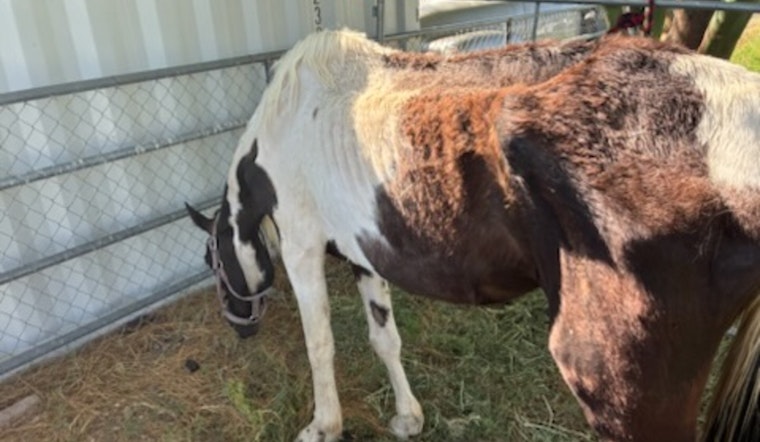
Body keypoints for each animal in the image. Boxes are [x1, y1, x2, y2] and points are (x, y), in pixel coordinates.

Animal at [186, 29, 760, 441]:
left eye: (212, 261)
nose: (238, 327)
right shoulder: (365, 256)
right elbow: (385, 339)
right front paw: (407, 419)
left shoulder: (303, 247)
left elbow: (319, 344)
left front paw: (322, 427)